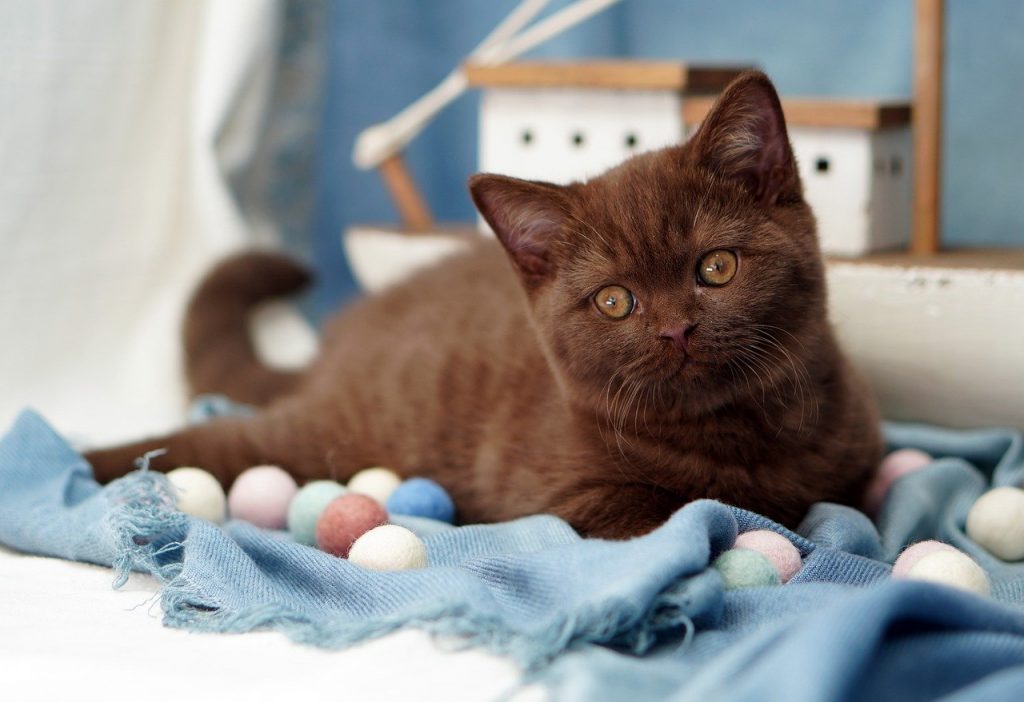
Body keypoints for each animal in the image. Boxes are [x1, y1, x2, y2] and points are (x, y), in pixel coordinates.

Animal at [86, 72, 880, 540]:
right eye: (615, 301)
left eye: (716, 267)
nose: (675, 329)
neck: (738, 429)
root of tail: (338, 341)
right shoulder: (558, 500)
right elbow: (694, 509)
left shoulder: (858, 462)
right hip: (343, 430)